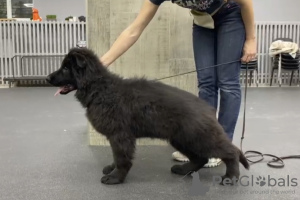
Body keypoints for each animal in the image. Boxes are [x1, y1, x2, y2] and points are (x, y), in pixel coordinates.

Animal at [46, 48, 248, 184]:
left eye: (66, 69)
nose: (47, 78)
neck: (99, 89)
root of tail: (208, 108)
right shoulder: (116, 137)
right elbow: (116, 156)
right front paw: (112, 169)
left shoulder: (120, 136)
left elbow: (122, 158)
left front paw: (115, 177)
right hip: (182, 138)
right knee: (200, 158)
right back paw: (183, 169)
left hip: (199, 137)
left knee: (231, 152)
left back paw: (231, 176)